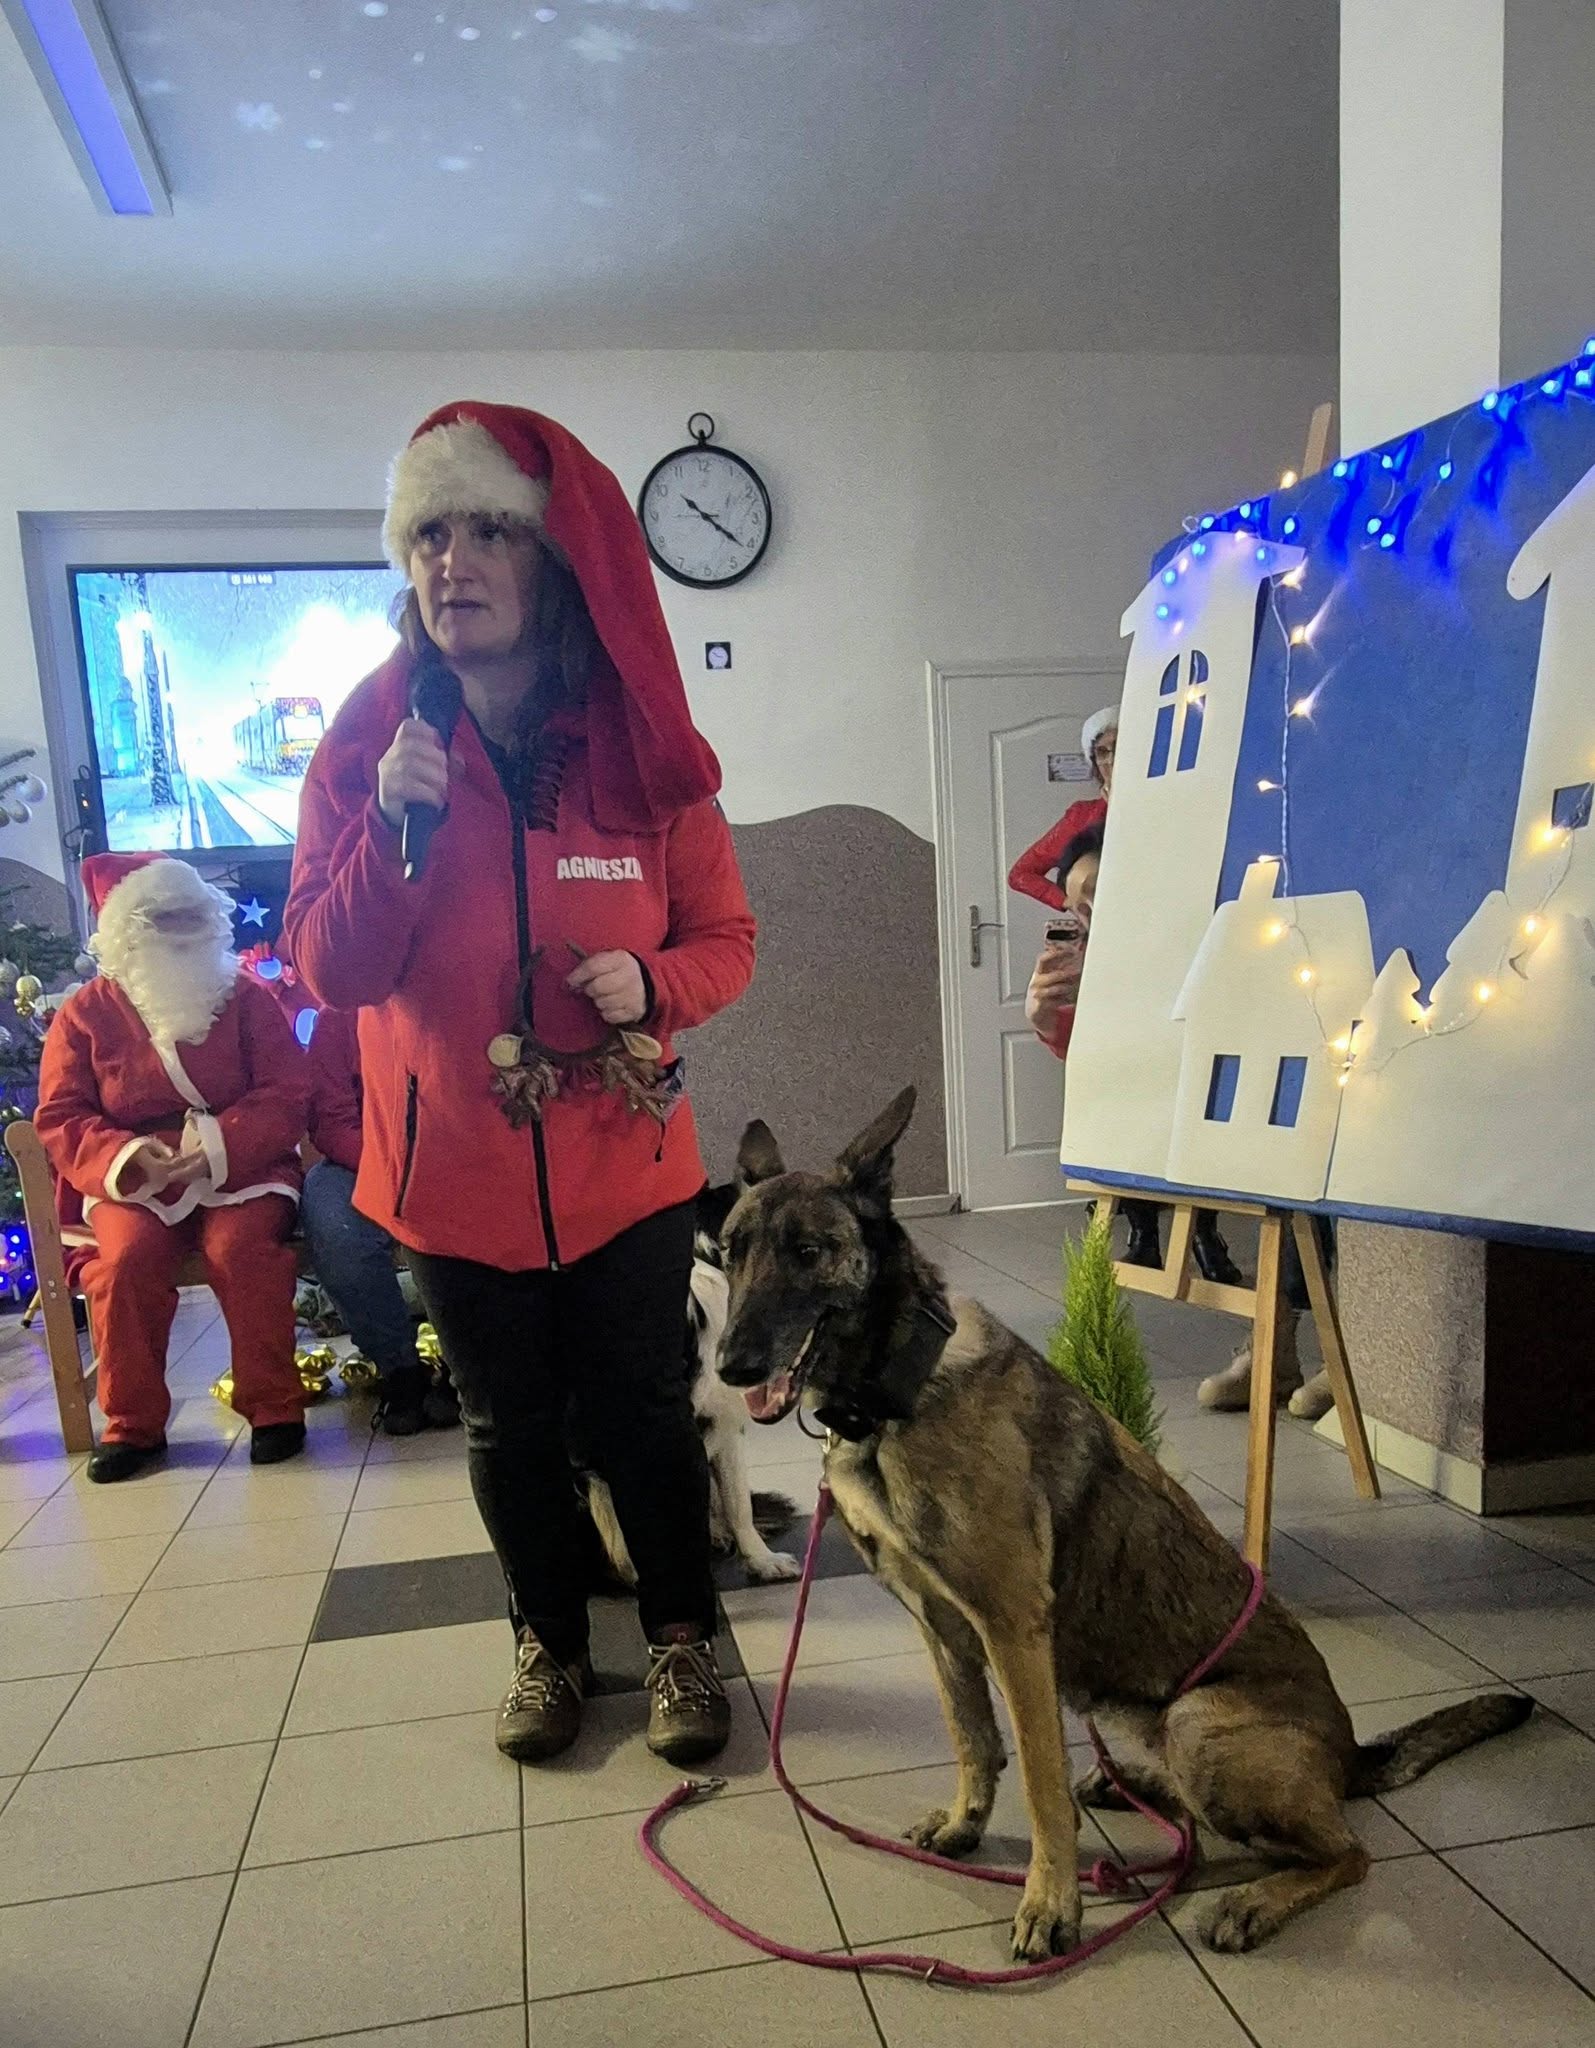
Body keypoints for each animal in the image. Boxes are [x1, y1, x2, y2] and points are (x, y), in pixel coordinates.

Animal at [715, 1087, 1532, 1960]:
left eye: (807, 1251)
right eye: (728, 1252)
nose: (729, 1367)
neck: (894, 1392)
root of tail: (1349, 1755)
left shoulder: (1011, 1630)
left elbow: (1037, 1782)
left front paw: (1050, 1902)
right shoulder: (940, 1628)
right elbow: (974, 1742)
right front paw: (969, 1824)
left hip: (1199, 1719)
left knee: (1345, 1852)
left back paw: (1252, 1899)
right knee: (1196, 1811)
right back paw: (1131, 1784)